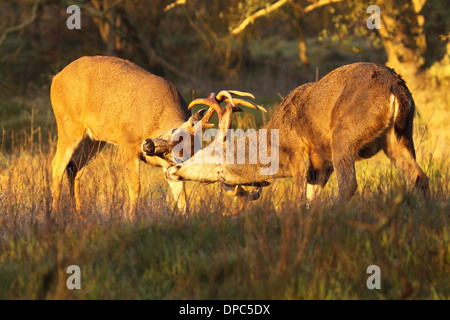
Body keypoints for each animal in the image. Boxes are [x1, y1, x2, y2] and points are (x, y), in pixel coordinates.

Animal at [49, 55, 260, 218]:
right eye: (175, 132)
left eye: (176, 156)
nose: (148, 145)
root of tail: (55, 79)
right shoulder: (127, 142)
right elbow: (135, 187)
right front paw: (131, 219)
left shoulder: (169, 167)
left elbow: (181, 198)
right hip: (68, 125)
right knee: (57, 165)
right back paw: (56, 214)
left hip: (94, 139)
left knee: (74, 168)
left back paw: (78, 213)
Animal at [157, 62, 428, 215]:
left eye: (204, 157)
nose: (172, 170)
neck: (274, 146)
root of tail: (396, 90)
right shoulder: (320, 169)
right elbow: (311, 199)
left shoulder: (300, 154)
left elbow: (299, 200)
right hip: (400, 137)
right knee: (419, 177)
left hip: (345, 134)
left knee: (349, 184)